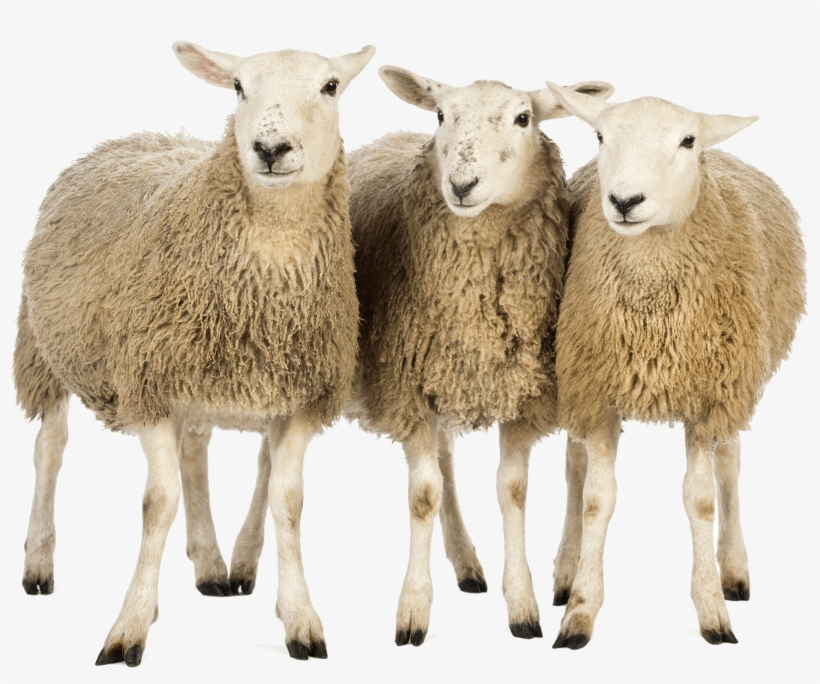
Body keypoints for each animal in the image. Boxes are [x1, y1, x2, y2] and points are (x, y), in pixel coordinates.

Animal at [14, 41, 375, 665]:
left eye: (330, 86)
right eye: (237, 86)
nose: (270, 148)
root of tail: (132, 136)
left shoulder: (299, 400)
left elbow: (288, 501)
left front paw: (300, 619)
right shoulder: (148, 385)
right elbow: (157, 504)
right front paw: (129, 626)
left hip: (200, 376)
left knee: (195, 452)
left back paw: (210, 564)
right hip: (45, 346)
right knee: (49, 450)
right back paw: (39, 562)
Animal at [344, 66, 614, 645]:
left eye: (523, 118)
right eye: (442, 115)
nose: (461, 185)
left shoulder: (522, 391)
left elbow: (512, 491)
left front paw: (523, 606)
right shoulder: (410, 389)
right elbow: (423, 494)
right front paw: (413, 611)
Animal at [543, 83, 806, 650]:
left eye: (686, 141)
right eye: (600, 136)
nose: (624, 201)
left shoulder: (708, 396)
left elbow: (701, 499)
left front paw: (712, 611)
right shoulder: (596, 389)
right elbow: (596, 497)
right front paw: (580, 610)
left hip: (737, 380)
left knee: (729, 464)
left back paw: (734, 572)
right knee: (574, 467)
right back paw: (566, 570)